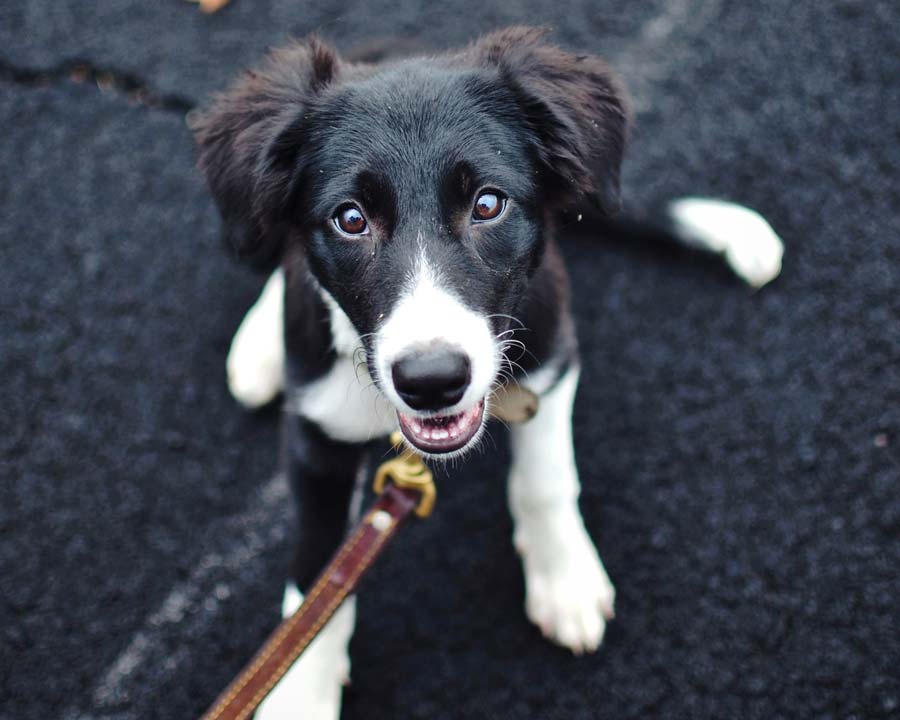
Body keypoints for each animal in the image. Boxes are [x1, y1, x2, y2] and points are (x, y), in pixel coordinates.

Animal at [193, 28, 784, 720]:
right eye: (350, 218)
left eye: (488, 204)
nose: (431, 380)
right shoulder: (315, 436)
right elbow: (320, 568)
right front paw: (300, 692)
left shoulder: (552, 351)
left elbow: (545, 478)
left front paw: (564, 576)